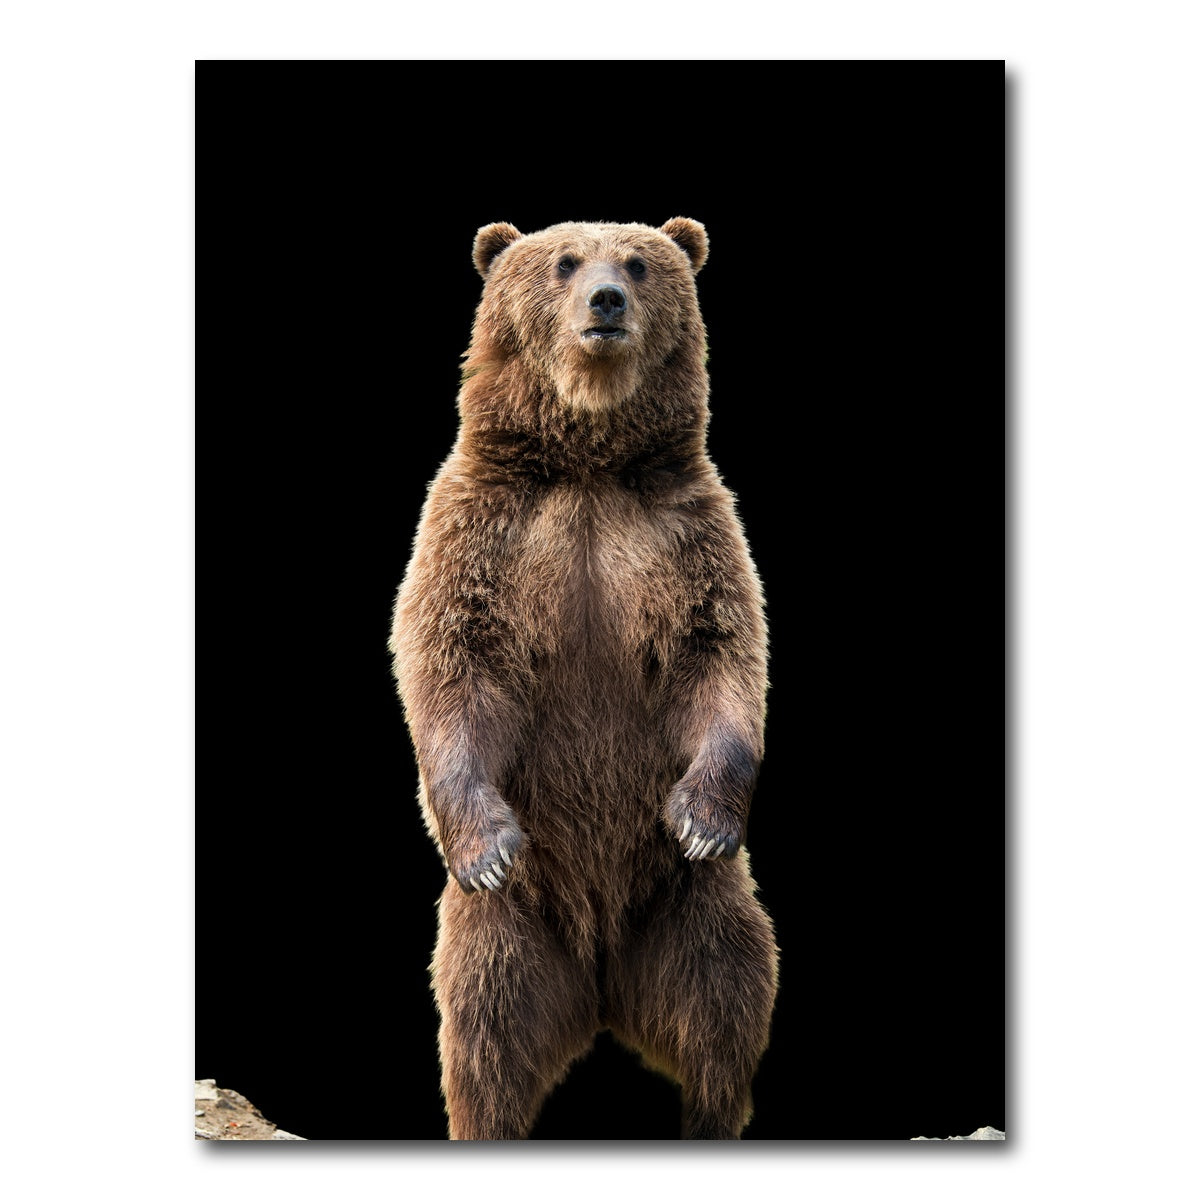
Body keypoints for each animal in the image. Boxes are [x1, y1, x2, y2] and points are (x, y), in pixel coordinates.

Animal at [389, 218, 777, 1140]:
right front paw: (488, 845)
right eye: (564, 262)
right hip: (513, 932)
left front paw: (702, 818)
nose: (606, 300)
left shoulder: (684, 534)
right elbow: (453, 665)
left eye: (637, 263)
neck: (589, 464)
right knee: (485, 1033)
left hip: (690, 908)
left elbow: (720, 658)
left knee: (726, 1001)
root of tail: (601, 988)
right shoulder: (483, 530)